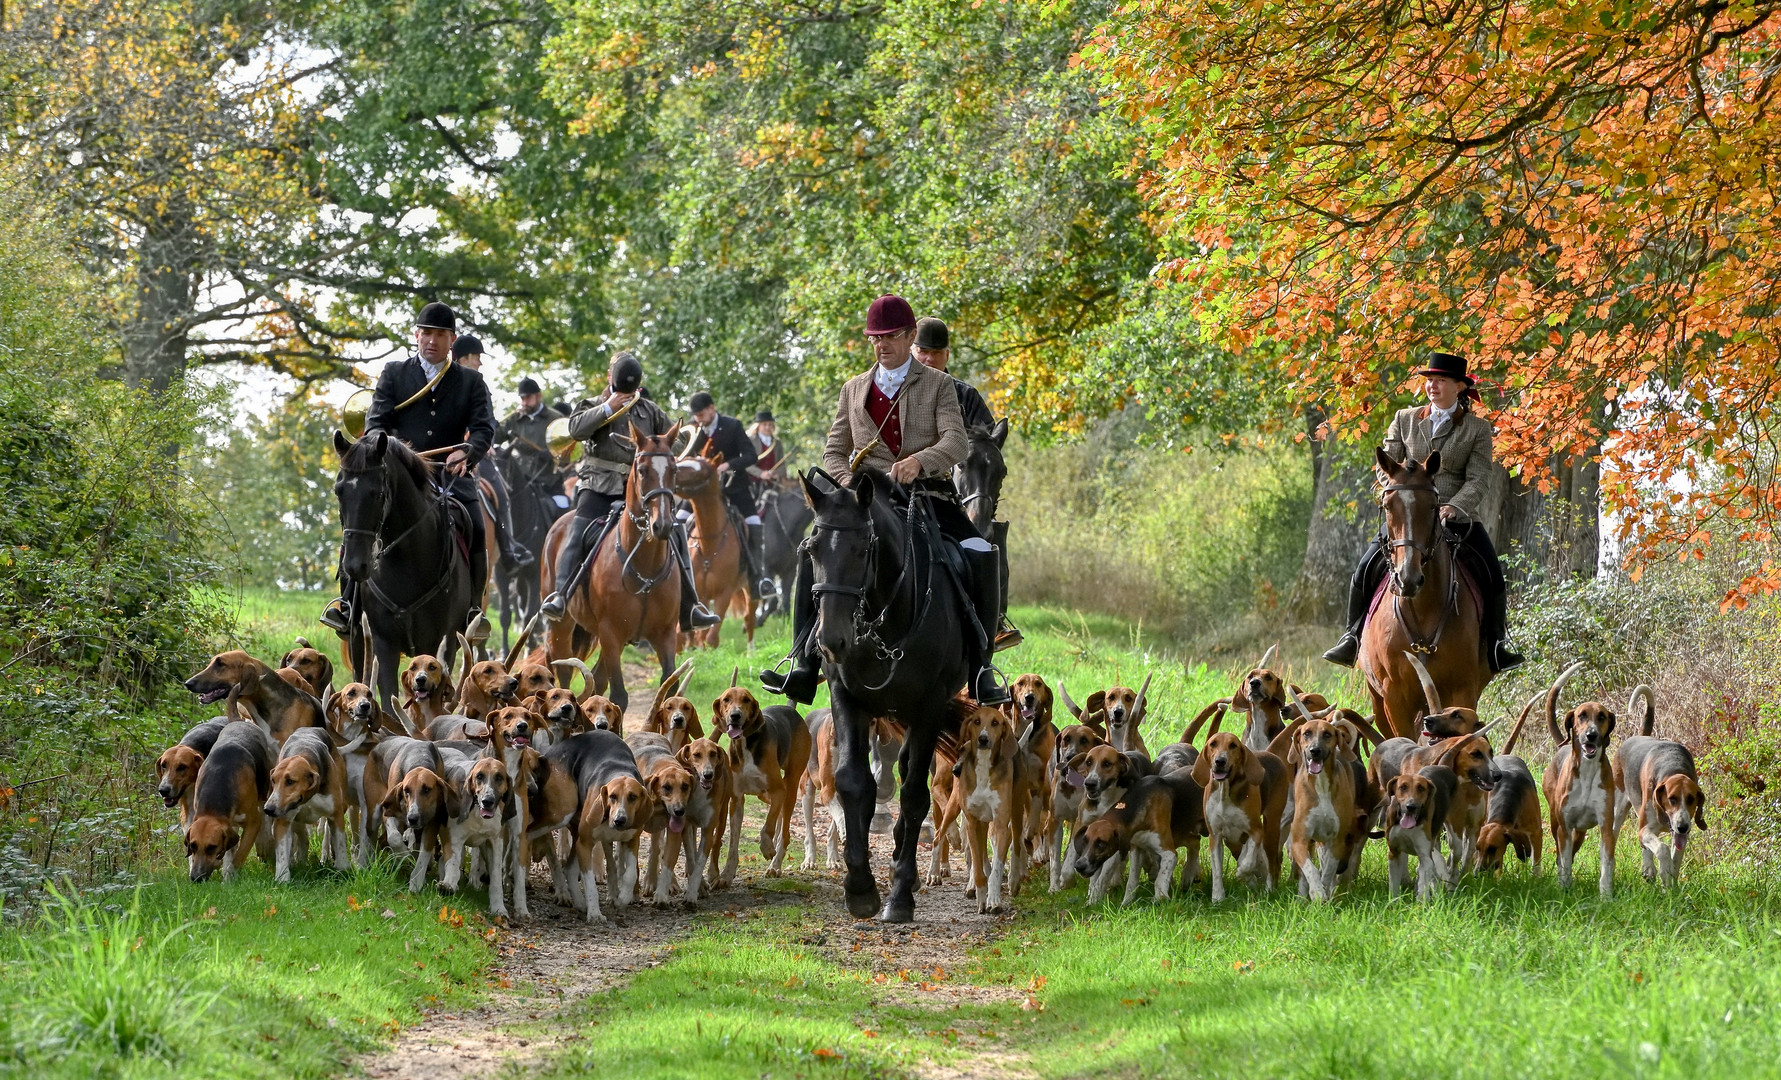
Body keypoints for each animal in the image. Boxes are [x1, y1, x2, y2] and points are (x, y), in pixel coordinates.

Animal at [331, 431, 487, 720]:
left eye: (378, 493)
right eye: (339, 491)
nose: (356, 566)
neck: (407, 561)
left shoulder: (441, 640)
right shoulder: (383, 641)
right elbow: (387, 698)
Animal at [534, 427, 680, 716]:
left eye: (674, 469)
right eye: (642, 470)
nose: (662, 525)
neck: (644, 566)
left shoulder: (665, 633)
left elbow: (667, 689)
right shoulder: (611, 633)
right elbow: (619, 696)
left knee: (597, 680)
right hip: (563, 627)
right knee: (564, 674)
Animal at [669, 456, 751, 652]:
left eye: (700, 471)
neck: (709, 543)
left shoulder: (724, 593)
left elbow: (711, 638)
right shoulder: (701, 593)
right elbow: (697, 635)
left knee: (749, 618)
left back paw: (751, 652)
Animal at [805, 466, 975, 919]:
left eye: (863, 548)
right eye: (811, 549)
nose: (831, 640)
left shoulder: (930, 707)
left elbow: (914, 794)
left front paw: (899, 894)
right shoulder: (847, 698)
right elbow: (853, 784)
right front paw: (860, 887)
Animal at [1353, 450, 1496, 744]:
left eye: (1432, 506)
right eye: (1388, 506)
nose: (1407, 578)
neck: (1423, 610)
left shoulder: (1463, 691)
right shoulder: (1395, 699)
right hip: (1378, 700)